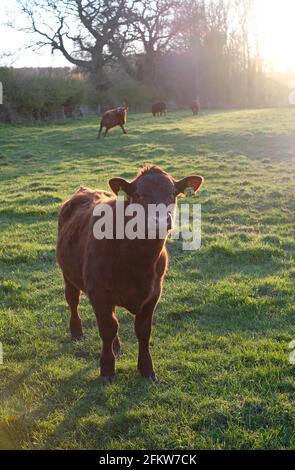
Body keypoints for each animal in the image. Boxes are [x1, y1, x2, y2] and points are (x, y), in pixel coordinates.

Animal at [57, 165, 205, 382]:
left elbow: (142, 331)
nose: (160, 220)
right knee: (73, 301)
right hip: (68, 274)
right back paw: (77, 332)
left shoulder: (153, 294)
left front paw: (147, 368)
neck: (138, 260)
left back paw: (117, 346)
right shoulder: (98, 293)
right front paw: (107, 369)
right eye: (138, 194)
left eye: (172, 193)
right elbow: (107, 329)